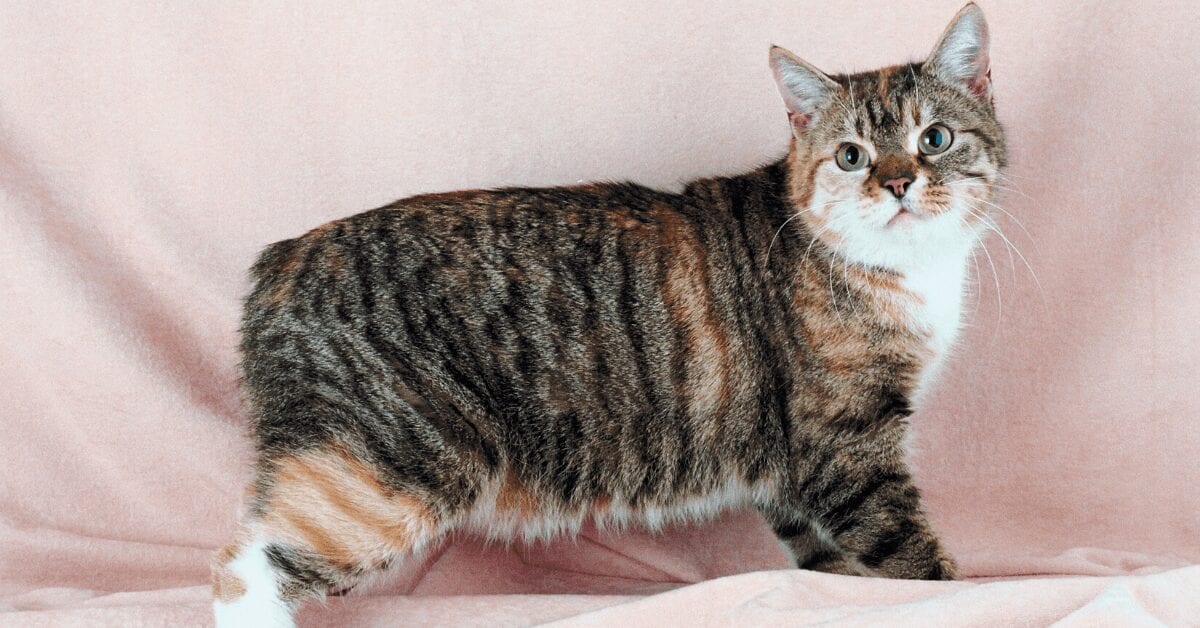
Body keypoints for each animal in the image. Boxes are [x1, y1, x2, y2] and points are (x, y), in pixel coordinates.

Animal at [213, 3, 1003, 624]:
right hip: (392, 463)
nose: (897, 183)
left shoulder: (790, 466)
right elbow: (906, 552)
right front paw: (948, 595)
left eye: (935, 139)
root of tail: (282, 258)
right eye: (850, 156)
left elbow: (827, 556)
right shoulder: (845, 444)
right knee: (242, 565)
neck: (899, 270)